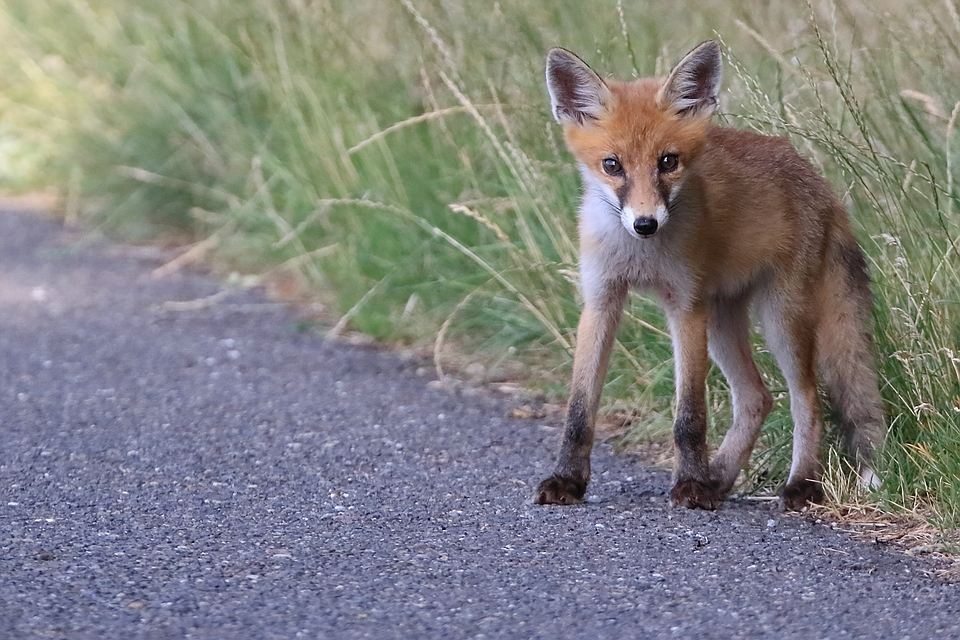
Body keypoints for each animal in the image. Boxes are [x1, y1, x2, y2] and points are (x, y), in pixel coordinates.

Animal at [536, 40, 880, 510]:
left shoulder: (686, 307)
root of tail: (818, 180)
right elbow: (579, 410)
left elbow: (689, 417)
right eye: (612, 165)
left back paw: (799, 484)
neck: (641, 256)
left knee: (806, 398)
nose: (645, 224)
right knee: (757, 398)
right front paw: (567, 480)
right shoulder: (601, 300)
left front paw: (691, 485)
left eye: (668, 162)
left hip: (780, 319)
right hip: (722, 320)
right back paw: (720, 476)